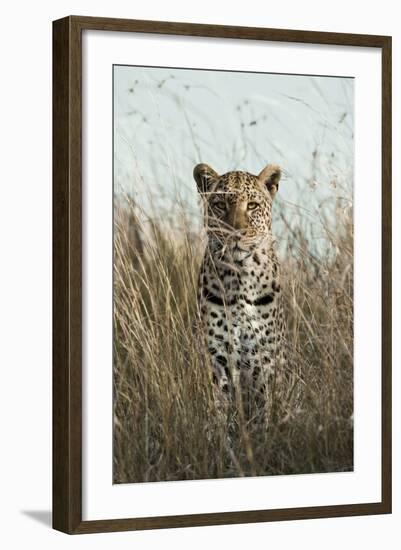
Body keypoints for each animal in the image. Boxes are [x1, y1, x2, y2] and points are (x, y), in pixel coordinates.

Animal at [193, 164, 284, 418]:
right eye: (220, 205)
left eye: (252, 206)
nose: (235, 234)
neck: (241, 277)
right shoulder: (218, 356)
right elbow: (222, 408)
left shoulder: (264, 357)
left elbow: (262, 409)